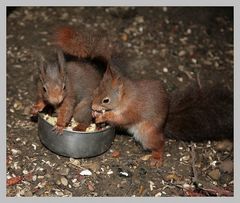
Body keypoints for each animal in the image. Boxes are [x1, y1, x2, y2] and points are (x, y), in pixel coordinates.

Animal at [54, 25, 232, 167]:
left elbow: (121, 118)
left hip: (147, 134)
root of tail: (163, 125)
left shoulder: (132, 110)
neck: (125, 97)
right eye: (96, 90)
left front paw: (103, 116)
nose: (93, 106)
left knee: (160, 144)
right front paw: (95, 114)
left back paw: (157, 157)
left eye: (106, 100)